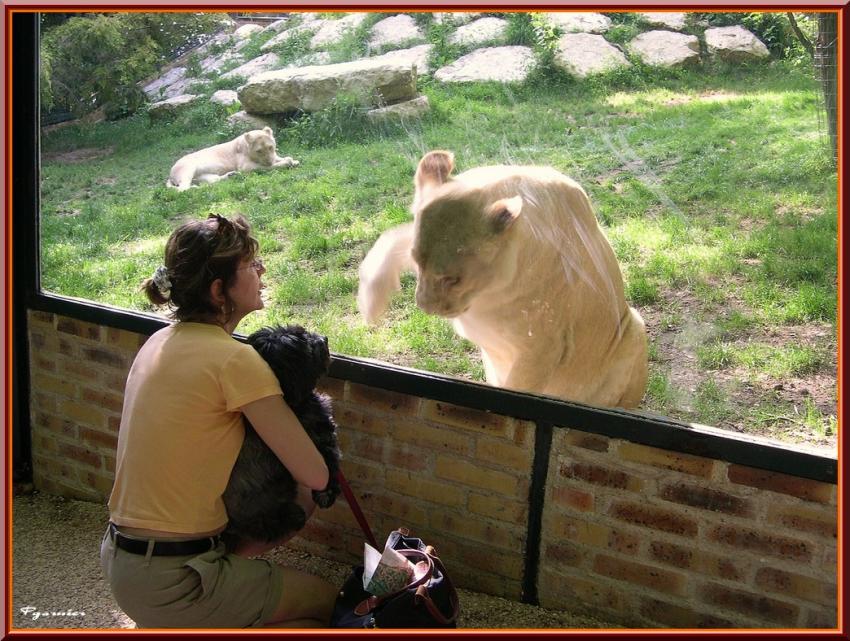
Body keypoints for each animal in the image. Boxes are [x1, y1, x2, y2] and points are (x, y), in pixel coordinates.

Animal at [220, 324, 342, 552]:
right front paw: (327, 493)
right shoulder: (320, 440)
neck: (289, 400)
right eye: (307, 345)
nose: (324, 339)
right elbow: (330, 464)